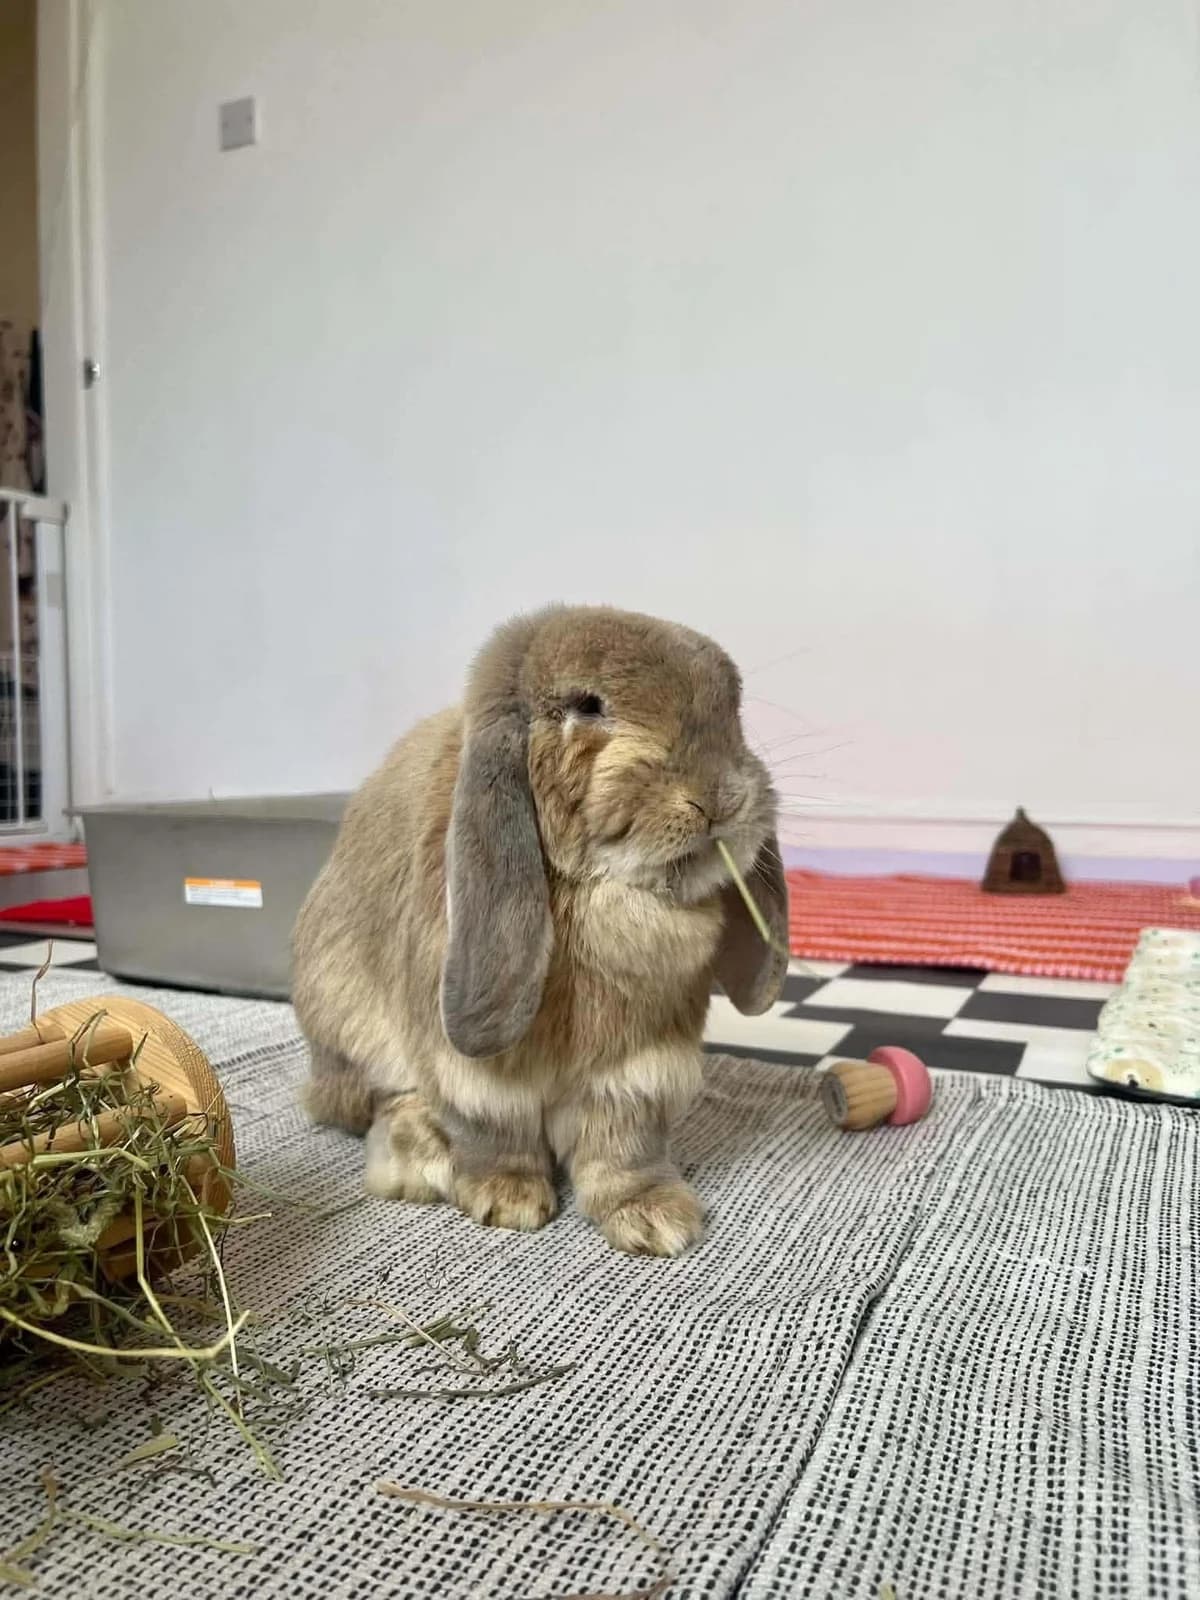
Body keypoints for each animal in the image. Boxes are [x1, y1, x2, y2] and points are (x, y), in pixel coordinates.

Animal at [292, 604, 788, 1257]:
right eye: (587, 705)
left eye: (732, 704)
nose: (722, 798)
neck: (607, 890)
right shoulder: (476, 1075)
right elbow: (495, 1131)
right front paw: (508, 1201)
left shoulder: (636, 1074)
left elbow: (623, 1150)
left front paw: (658, 1221)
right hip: (349, 1029)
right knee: (381, 1099)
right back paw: (418, 1160)